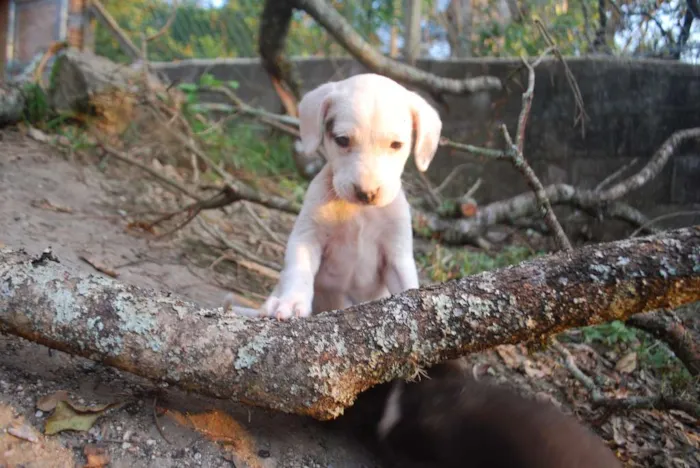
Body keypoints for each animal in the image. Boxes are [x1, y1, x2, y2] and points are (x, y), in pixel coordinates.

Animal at [258, 73, 442, 320]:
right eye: (342, 140)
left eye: (396, 145)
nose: (367, 193)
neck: (360, 213)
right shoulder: (307, 238)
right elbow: (299, 270)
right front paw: (290, 302)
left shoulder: (397, 255)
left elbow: (407, 285)